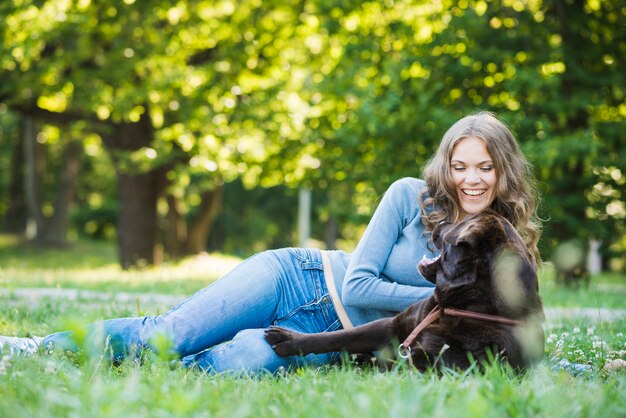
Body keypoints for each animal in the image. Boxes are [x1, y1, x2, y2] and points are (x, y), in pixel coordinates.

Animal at [264, 211, 540, 370]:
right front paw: (290, 339)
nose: (440, 221)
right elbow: (339, 337)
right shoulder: (393, 326)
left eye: (460, 223)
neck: (458, 308)